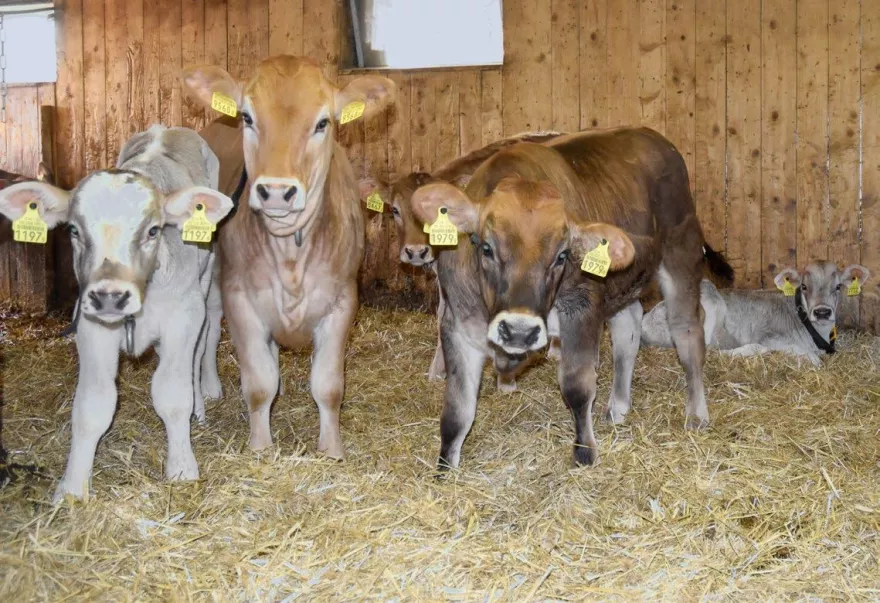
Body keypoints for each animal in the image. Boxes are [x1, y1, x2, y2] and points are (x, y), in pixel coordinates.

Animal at [0, 125, 234, 502]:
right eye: (74, 230)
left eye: (153, 230)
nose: (110, 297)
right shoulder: (90, 326)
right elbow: (93, 404)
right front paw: (72, 488)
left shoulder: (183, 318)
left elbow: (173, 393)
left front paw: (182, 468)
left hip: (206, 278)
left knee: (205, 342)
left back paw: (203, 397)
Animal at [184, 56, 398, 458]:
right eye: (248, 117)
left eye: (323, 122)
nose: (276, 192)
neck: (290, 257)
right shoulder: (240, 298)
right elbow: (258, 383)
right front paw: (260, 446)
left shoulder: (342, 301)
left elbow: (328, 386)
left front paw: (332, 449)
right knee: (207, 328)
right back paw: (210, 388)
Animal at [412, 130, 736, 472]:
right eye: (485, 247)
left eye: (562, 255)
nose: (518, 331)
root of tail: (654, 137)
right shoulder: (458, 322)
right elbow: (457, 408)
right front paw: (444, 469)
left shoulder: (581, 308)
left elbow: (577, 387)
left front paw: (584, 452)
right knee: (628, 327)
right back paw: (618, 406)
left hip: (681, 252)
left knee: (687, 332)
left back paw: (696, 414)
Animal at [644, 262, 868, 366]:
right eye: (804, 286)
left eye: (838, 286)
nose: (822, 312)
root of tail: (647, 319)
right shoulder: (771, 339)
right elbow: (813, 359)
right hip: (709, 295)